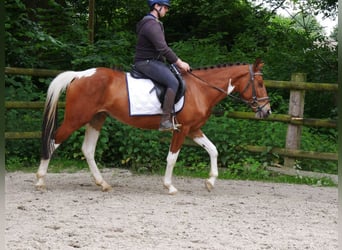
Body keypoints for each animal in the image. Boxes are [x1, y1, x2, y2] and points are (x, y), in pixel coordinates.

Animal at [34, 58, 270, 195]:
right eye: (259, 83)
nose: (266, 111)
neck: (200, 89)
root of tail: (79, 75)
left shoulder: (193, 129)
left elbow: (213, 150)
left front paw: (210, 182)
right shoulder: (182, 129)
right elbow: (172, 158)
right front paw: (169, 186)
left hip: (97, 118)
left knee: (88, 149)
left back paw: (103, 184)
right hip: (77, 118)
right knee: (53, 141)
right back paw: (40, 181)